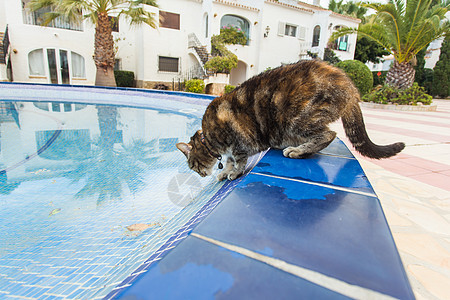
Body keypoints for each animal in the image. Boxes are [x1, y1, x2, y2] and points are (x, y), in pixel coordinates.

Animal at [176, 59, 404, 179]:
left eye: (193, 167)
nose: (200, 175)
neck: (209, 138)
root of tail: (350, 88)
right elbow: (230, 161)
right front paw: (224, 172)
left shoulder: (239, 142)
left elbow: (238, 160)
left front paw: (233, 173)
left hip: (296, 119)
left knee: (328, 134)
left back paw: (298, 151)